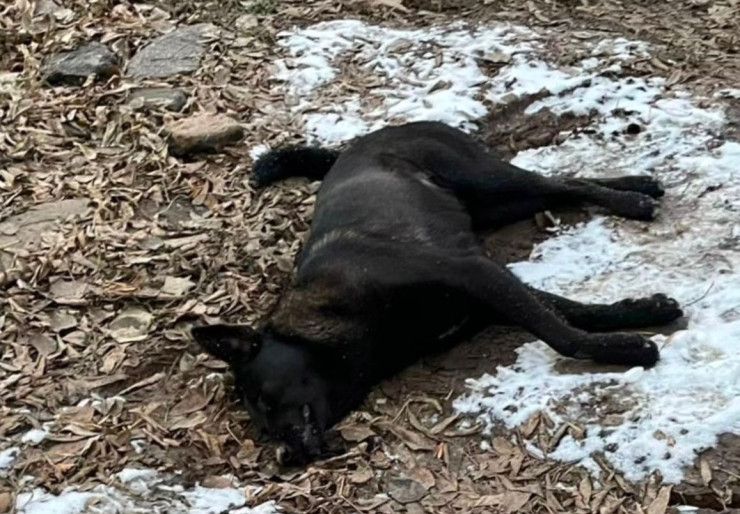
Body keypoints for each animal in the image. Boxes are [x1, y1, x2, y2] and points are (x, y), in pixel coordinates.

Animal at [190, 121, 683, 465]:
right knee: (563, 186)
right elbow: (571, 312)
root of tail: (361, 140)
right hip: (501, 204)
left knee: (564, 182)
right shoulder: (487, 294)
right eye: (261, 426)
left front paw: (626, 349)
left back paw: (632, 200)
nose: (287, 459)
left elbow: (561, 334)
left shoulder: (474, 273)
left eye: (267, 401)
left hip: (488, 180)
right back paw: (638, 185)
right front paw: (642, 313)